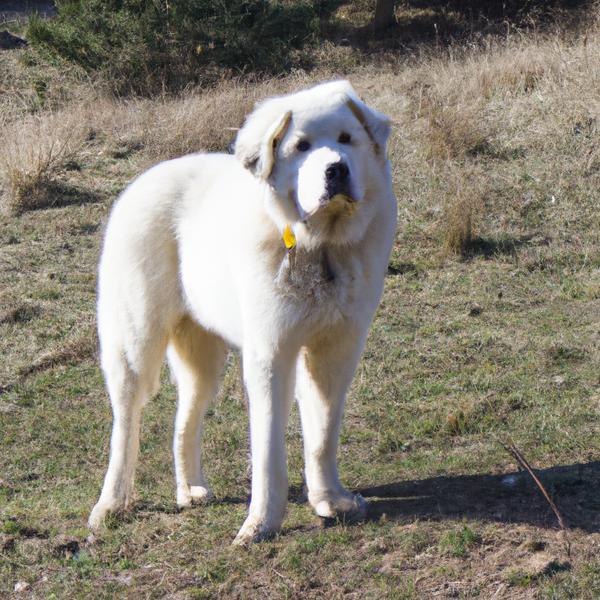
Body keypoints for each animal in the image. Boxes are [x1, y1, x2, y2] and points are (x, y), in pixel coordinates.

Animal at [89, 79, 396, 544]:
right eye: (302, 146)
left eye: (346, 139)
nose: (336, 170)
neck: (320, 246)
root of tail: (144, 179)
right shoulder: (270, 353)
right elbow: (269, 447)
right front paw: (261, 524)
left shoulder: (335, 349)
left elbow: (323, 432)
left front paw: (331, 500)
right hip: (135, 343)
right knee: (126, 421)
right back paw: (111, 505)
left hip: (203, 356)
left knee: (185, 419)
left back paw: (190, 490)